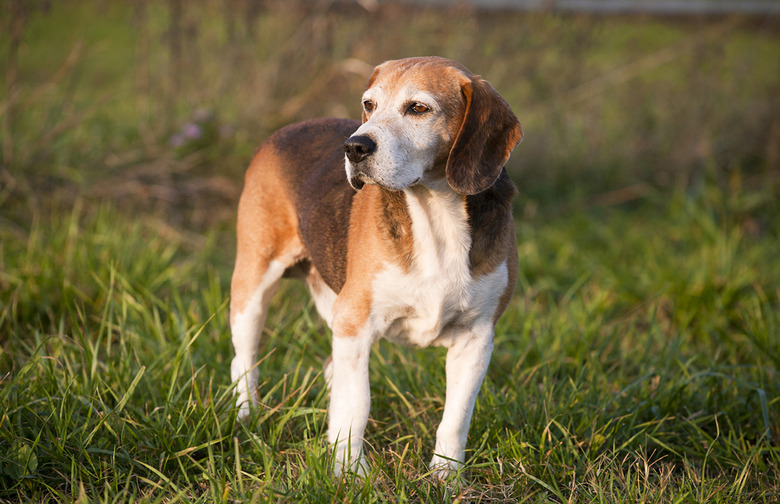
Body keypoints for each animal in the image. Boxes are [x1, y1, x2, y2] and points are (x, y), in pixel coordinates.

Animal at [232, 57, 524, 478]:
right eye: (369, 104)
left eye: (418, 108)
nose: (354, 146)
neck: (436, 216)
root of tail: (288, 129)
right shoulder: (356, 323)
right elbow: (357, 404)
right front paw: (350, 474)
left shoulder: (477, 338)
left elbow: (456, 418)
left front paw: (446, 477)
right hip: (253, 287)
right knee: (244, 360)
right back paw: (247, 416)